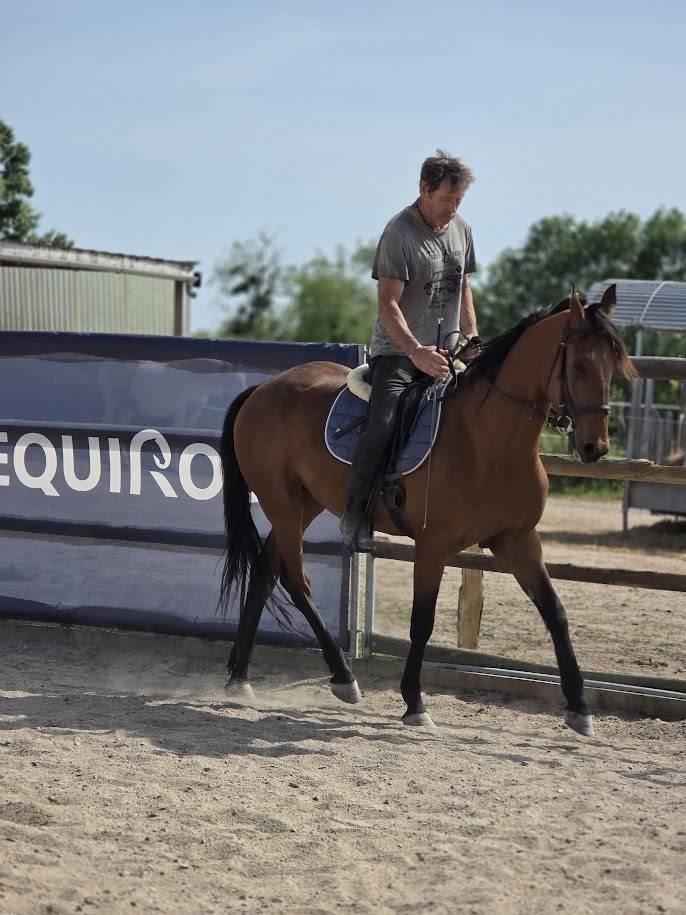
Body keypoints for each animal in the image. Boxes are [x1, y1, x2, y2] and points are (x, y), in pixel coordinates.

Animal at [218, 285, 636, 736]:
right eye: (579, 364)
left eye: (613, 366)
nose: (595, 447)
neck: (487, 440)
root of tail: (264, 388)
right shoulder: (433, 545)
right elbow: (423, 620)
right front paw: (414, 702)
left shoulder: (518, 541)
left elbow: (555, 612)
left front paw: (579, 707)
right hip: (280, 501)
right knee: (296, 581)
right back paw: (343, 677)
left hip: (302, 503)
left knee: (265, 570)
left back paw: (239, 678)